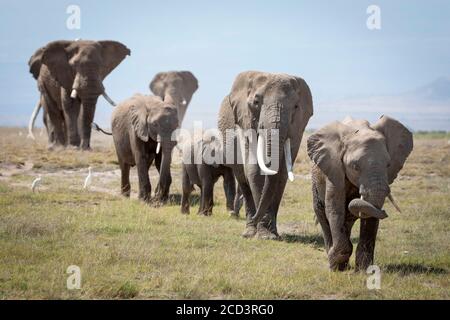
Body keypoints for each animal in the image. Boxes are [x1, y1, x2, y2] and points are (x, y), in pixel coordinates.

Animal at [218, 70, 312, 240]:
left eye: (296, 106)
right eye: (256, 102)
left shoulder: (297, 129)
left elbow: (282, 174)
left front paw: (272, 235)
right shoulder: (245, 120)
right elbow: (254, 170)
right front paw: (264, 235)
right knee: (242, 179)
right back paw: (249, 231)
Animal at [308, 116, 414, 272]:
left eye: (388, 165)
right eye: (355, 167)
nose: (385, 212)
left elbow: (371, 213)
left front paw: (365, 269)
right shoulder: (334, 169)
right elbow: (334, 208)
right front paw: (337, 265)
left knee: (348, 220)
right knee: (322, 213)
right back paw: (334, 263)